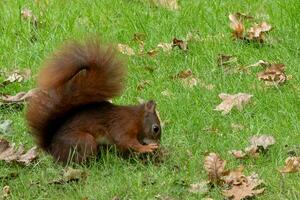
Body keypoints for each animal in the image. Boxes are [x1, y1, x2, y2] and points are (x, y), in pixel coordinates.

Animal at [25, 38, 162, 164]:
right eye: (156, 128)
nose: (158, 145)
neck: (137, 118)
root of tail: (53, 150)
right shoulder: (123, 126)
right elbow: (125, 141)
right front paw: (146, 148)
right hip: (84, 141)